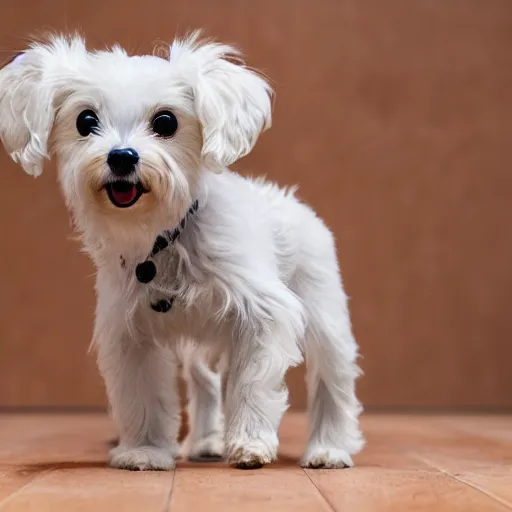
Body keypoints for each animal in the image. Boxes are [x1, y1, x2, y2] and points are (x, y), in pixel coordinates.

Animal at [0, 31, 364, 472]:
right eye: (85, 121)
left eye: (166, 122)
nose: (122, 156)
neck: (164, 239)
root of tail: (291, 200)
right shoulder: (129, 334)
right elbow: (142, 398)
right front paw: (145, 450)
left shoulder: (264, 315)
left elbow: (251, 384)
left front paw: (251, 442)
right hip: (201, 350)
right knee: (206, 385)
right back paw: (207, 441)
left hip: (325, 320)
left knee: (333, 384)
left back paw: (329, 448)